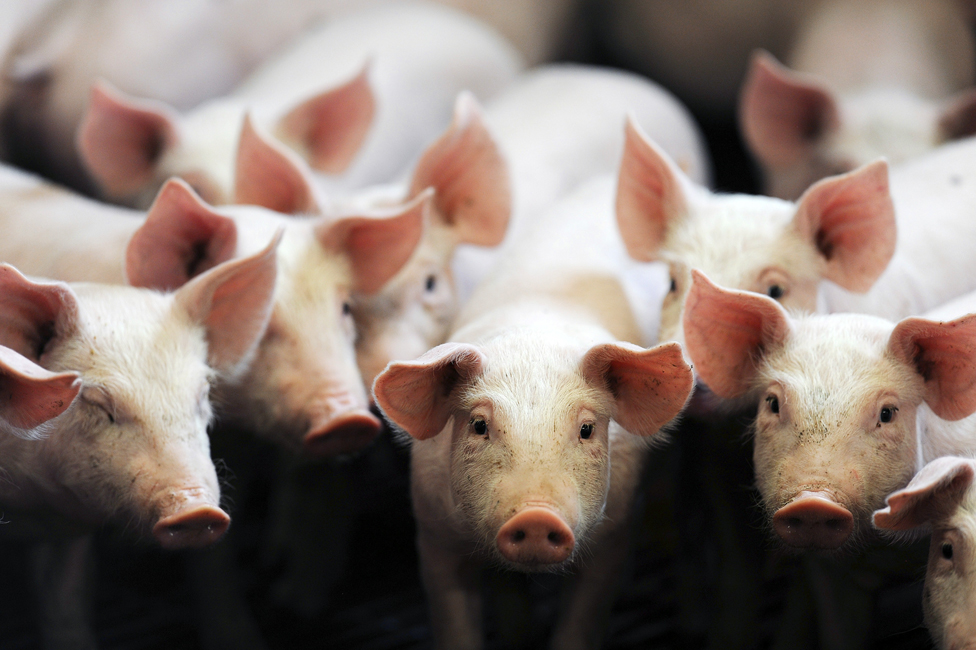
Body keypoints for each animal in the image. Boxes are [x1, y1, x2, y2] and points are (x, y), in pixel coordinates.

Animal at [373, 177, 694, 649]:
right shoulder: (434, 535)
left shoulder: (614, 535)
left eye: (586, 429)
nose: (537, 516)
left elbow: (581, 623)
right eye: (479, 425)